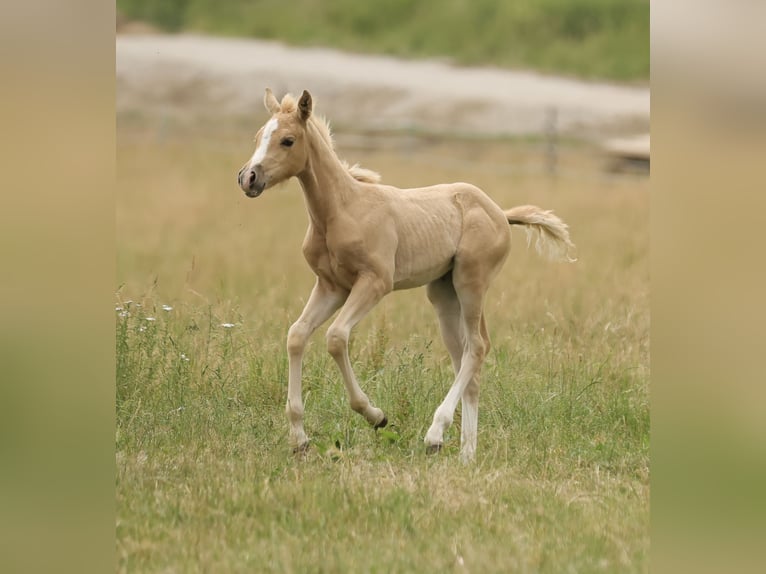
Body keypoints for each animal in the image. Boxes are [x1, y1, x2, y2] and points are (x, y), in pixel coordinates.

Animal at [237, 88, 575, 462]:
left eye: (288, 140)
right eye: (258, 136)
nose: (248, 178)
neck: (342, 209)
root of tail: (500, 212)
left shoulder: (375, 282)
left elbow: (337, 337)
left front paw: (376, 415)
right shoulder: (331, 286)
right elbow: (296, 335)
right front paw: (299, 439)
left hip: (471, 282)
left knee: (477, 347)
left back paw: (435, 434)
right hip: (444, 293)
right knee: (465, 358)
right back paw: (465, 454)